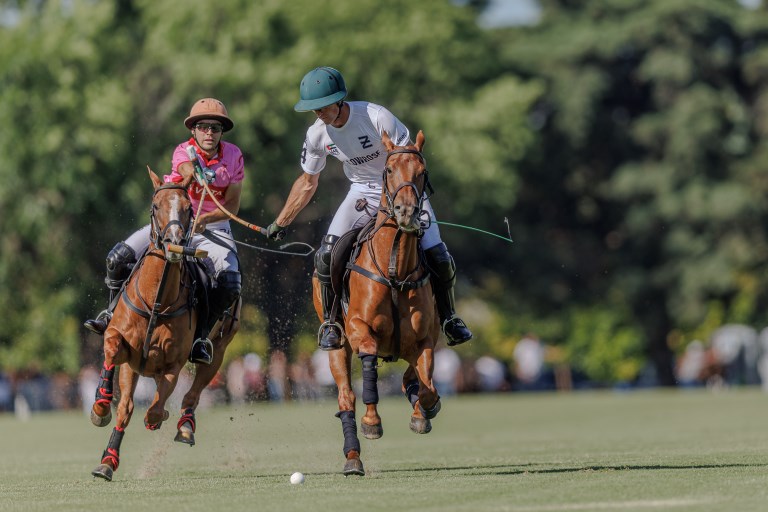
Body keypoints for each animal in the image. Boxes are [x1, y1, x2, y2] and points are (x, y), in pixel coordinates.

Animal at [91, 170, 240, 482]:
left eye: (188, 208)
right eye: (156, 205)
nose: (174, 241)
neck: (156, 302)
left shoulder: (173, 364)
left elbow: (155, 408)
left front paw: (160, 419)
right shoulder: (125, 350)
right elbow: (123, 402)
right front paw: (106, 449)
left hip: (220, 346)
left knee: (194, 389)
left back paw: (185, 425)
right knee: (117, 258)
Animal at [312, 129, 440, 476]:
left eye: (422, 172)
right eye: (389, 169)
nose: (406, 212)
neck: (394, 267)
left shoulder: (425, 339)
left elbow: (426, 386)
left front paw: (422, 412)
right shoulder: (359, 329)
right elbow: (369, 367)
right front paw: (372, 421)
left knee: (413, 380)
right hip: (337, 344)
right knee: (346, 397)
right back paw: (353, 457)